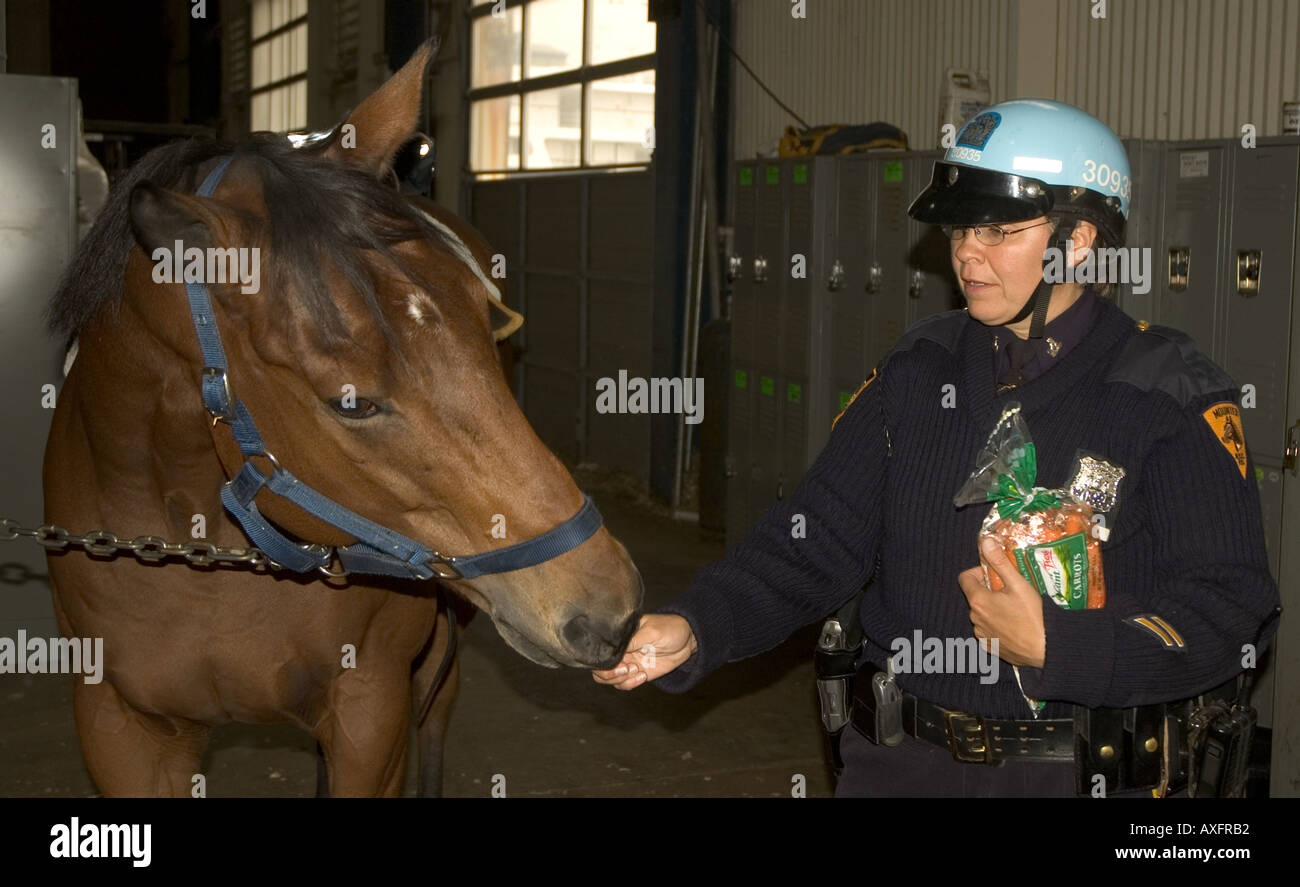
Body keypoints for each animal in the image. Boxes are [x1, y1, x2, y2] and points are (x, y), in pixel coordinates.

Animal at [43, 43, 642, 795]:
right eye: (350, 402)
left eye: (488, 321)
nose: (612, 609)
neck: (202, 551)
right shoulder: (122, 729)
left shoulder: (370, 713)